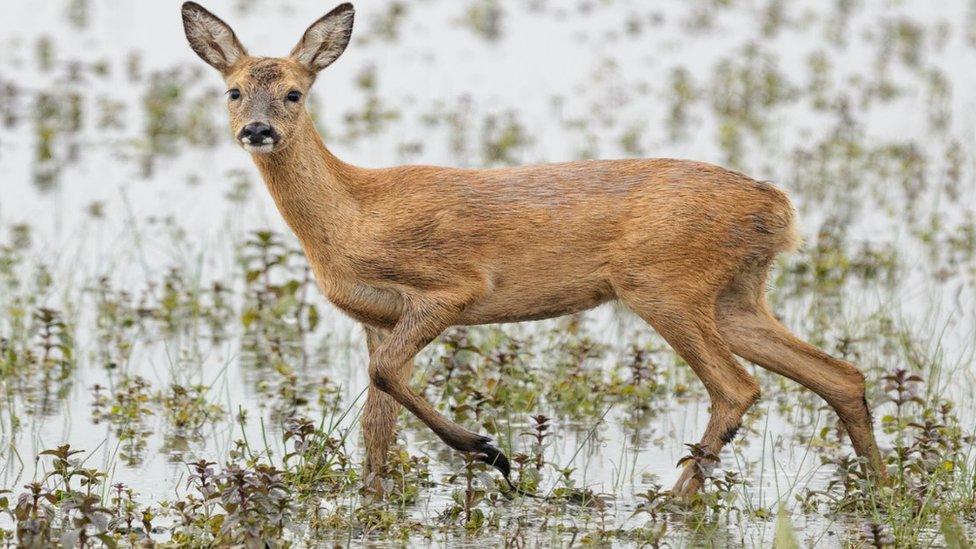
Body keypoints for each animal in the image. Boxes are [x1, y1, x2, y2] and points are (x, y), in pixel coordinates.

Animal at [179, 1, 888, 496]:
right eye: (233, 90)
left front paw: (492, 453)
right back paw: (883, 491)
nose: (258, 129)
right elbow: (375, 424)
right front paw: (373, 499)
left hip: (663, 283)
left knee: (738, 388)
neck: (352, 214)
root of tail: (779, 208)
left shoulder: (453, 288)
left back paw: (670, 505)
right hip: (735, 295)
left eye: (294, 92)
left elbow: (385, 379)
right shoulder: (374, 317)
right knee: (840, 374)